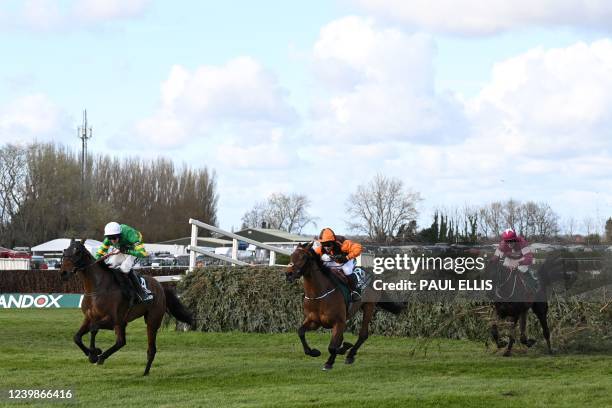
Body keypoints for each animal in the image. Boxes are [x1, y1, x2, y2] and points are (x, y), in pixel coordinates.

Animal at [59, 239, 194, 376]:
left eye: (78, 252)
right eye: (64, 251)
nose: (63, 273)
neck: (97, 288)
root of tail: (161, 287)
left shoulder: (113, 320)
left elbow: (94, 328)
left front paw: (94, 353)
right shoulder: (89, 317)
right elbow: (77, 337)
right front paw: (93, 354)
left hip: (152, 320)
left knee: (151, 349)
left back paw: (145, 372)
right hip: (124, 322)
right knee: (121, 341)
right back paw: (103, 358)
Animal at [286, 244, 406, 372]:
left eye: (303, 257)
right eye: (291, 255)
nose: (288, 274)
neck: (319, 295)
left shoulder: (338, 322)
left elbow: (333, 346)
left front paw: (336, 356)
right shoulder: (314, 321)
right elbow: (300, 332)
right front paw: (314, 352)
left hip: (369, 306)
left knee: (363, 334)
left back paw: (350, 355)